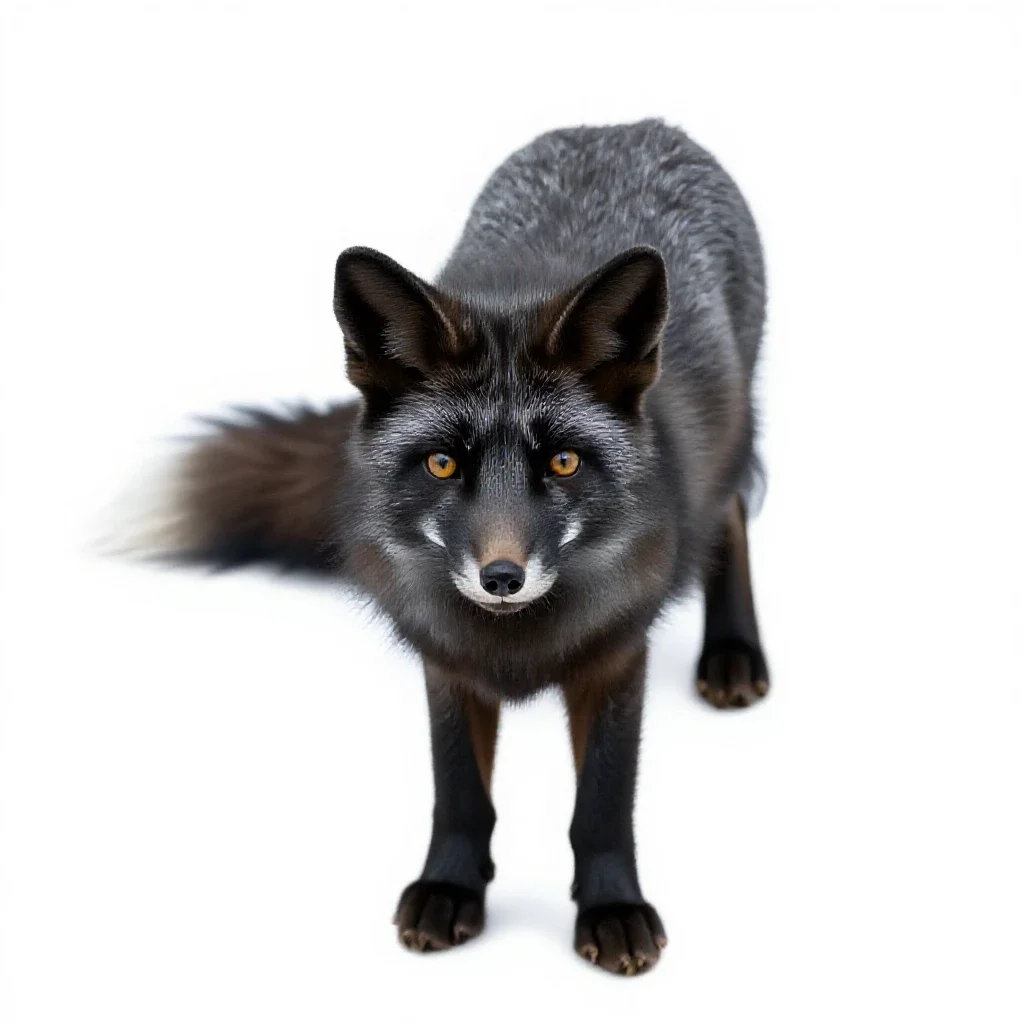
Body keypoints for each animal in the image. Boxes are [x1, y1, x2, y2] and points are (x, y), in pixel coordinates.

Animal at [117, 118, 769, 975]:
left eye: (563, 463)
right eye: (442, 464)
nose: (502, 577)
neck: (517, 643)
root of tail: (630, 125)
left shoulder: (616, 653)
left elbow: (600, 804)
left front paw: (611, 907)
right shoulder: (445, 657)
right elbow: (460, 794)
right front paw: (451, 888)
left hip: (729, 440)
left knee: (731, 513)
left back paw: (733, 654)